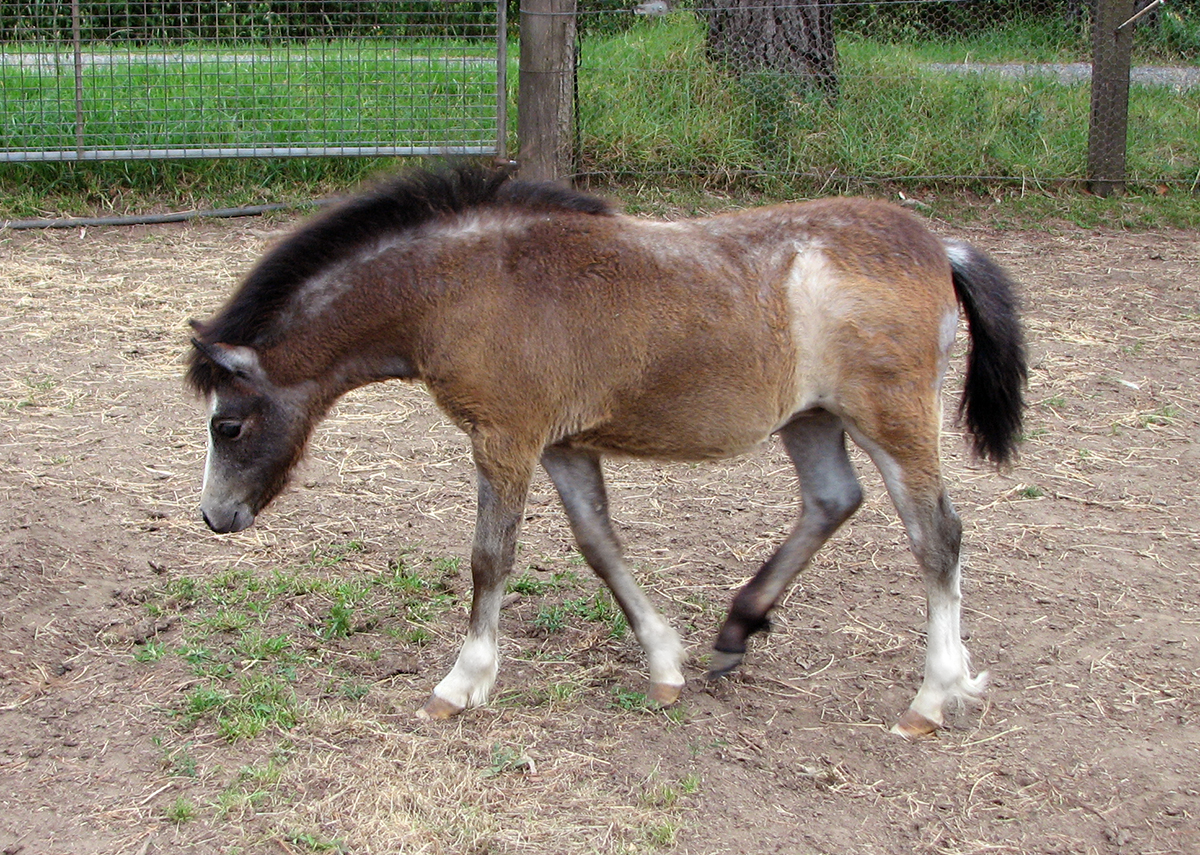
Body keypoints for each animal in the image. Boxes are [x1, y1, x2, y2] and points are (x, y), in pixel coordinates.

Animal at [187, 165, 1025, 737]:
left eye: (227, 426)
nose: (215, 516)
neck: (463, 283)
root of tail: (938, 244)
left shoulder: (506, 437)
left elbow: (490, 556)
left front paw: (463, 681)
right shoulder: (561, 445)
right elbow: (599, 543)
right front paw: (664, 663)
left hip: (892, 419)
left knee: (937, 536)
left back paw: (933, 695)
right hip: (811, 417)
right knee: (831, 501)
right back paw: (736, 631)